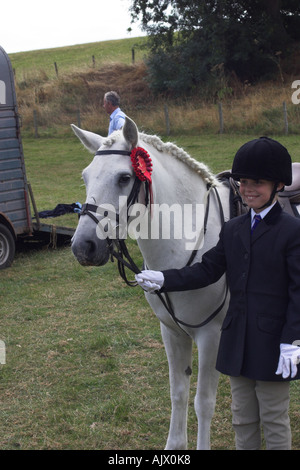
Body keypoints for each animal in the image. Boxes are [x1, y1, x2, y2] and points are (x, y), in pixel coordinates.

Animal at [70, 116, 230, 448]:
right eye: (85, 177)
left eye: (123, 178)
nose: (83, 247)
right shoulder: (172, 332)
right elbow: (178, 394)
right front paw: (175, 445)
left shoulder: (212, 335)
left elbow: (204, 402)